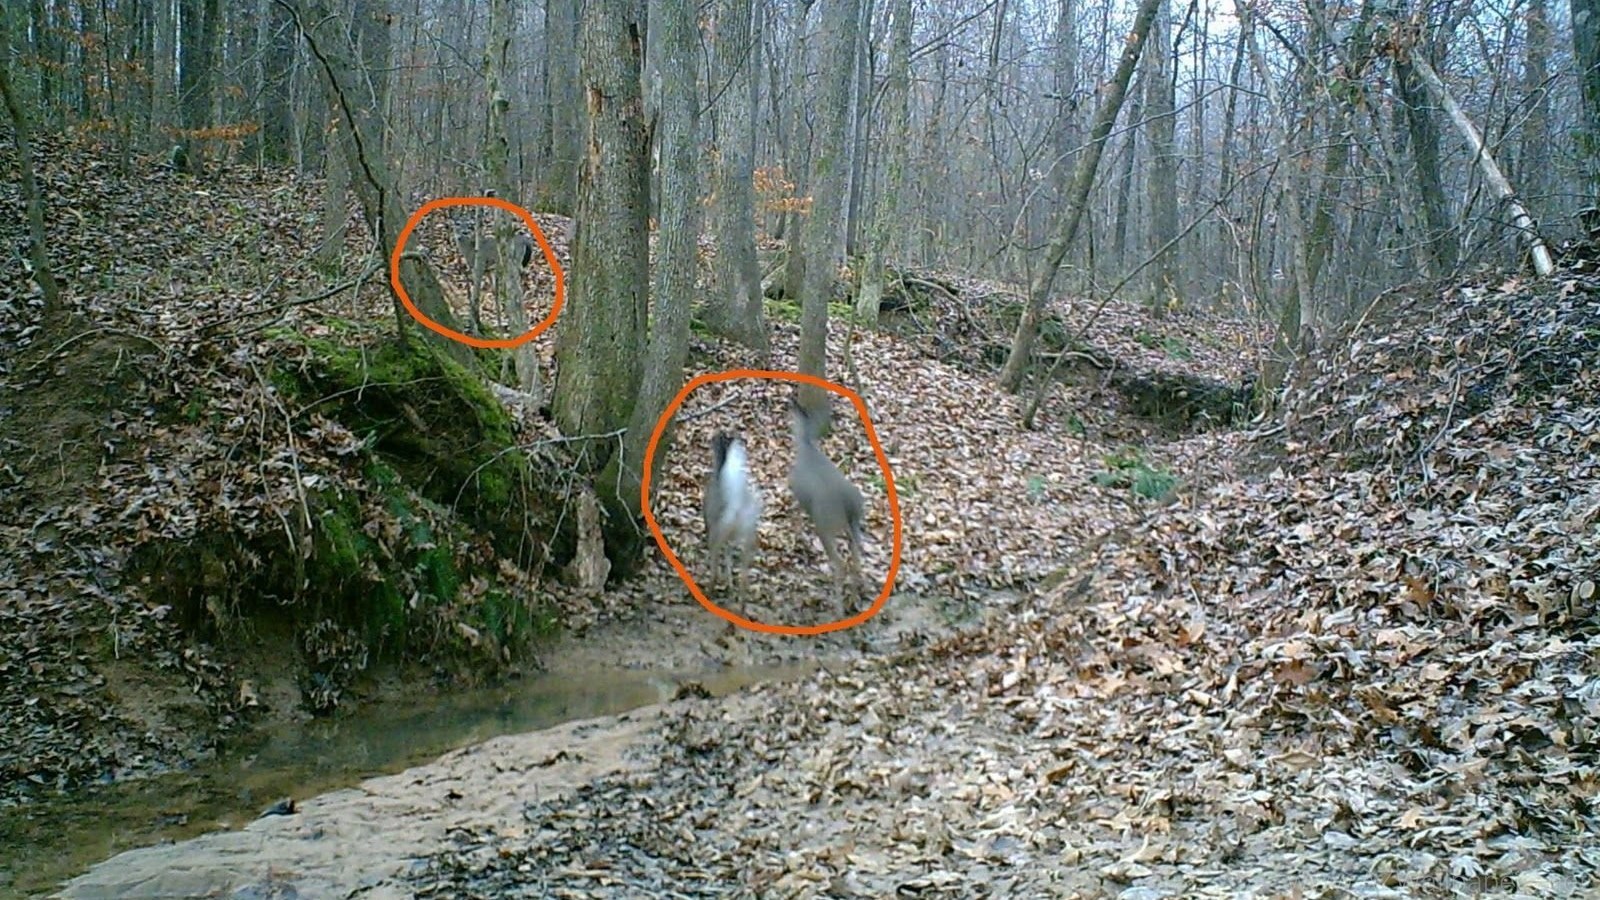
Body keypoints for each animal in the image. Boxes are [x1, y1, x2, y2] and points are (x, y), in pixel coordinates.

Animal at [786, 397, 867, 609]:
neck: (806, 445)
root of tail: (849, 507)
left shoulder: (796, 490)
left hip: (825, 525)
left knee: (839, 564)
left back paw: (837, 607)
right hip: (852, 525)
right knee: (856, 558)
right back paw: (855, 598)